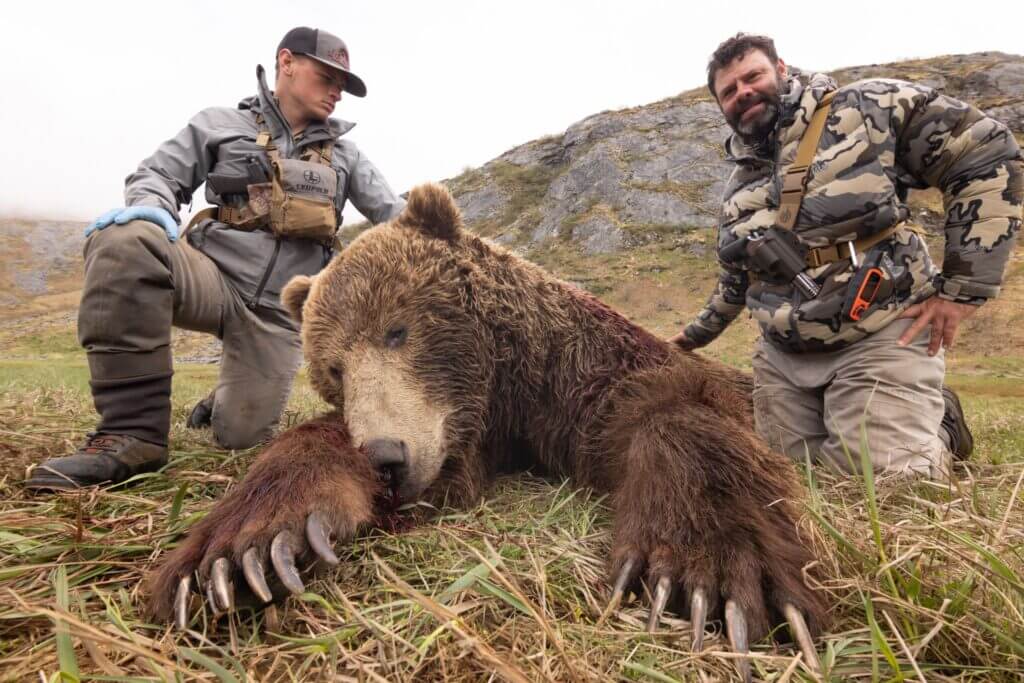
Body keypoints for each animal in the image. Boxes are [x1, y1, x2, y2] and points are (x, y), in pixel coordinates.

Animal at [148, 182, 826, 675]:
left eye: (398, 330)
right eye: (333, 367)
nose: (388, 460)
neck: (512, 396)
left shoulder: (595, 382)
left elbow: (682, 420)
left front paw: (700, 573)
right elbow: (315, 450)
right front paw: (240, 552)